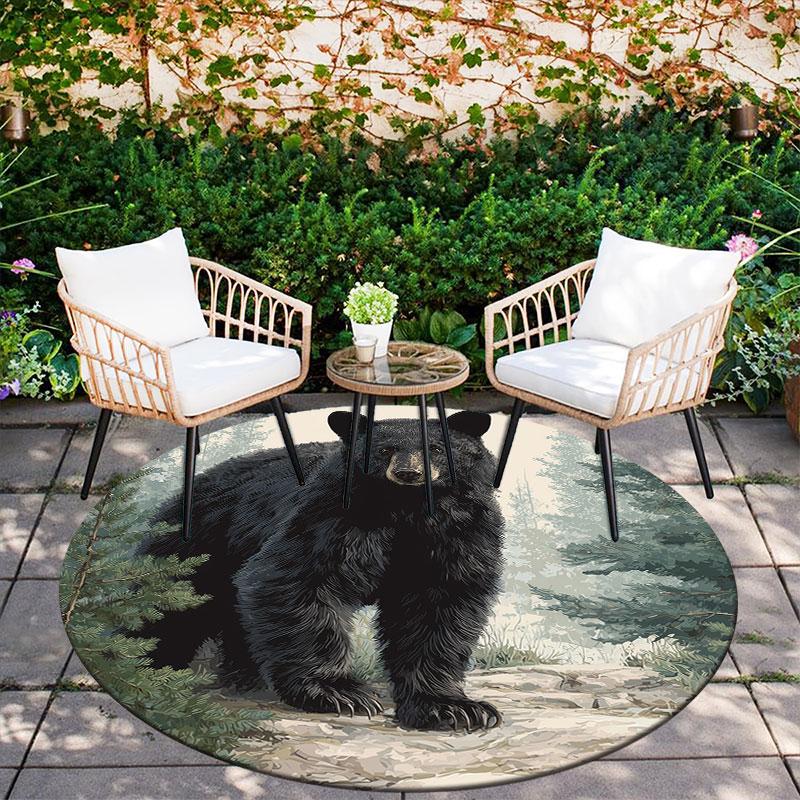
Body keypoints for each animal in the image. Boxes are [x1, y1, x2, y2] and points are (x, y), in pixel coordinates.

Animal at [136, 409, 505, 732]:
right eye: (384, 449)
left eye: (437, 448)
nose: (408, 474)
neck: (406, 510)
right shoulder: (331, 517)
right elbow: (295, 580)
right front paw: (341, 693)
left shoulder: (457, 533)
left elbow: (439, 607)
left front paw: (451, 707)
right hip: (198, 547)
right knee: (167, 611)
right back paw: (149, 668)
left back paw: (244, 678)